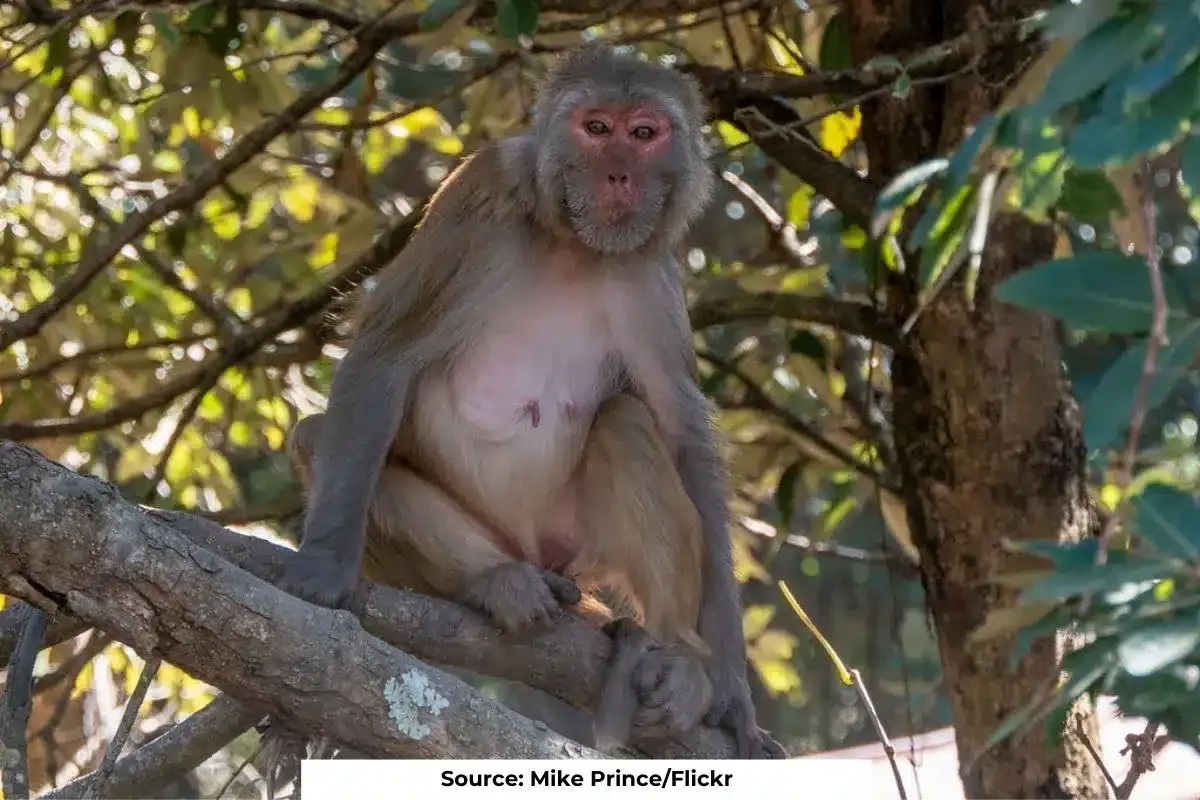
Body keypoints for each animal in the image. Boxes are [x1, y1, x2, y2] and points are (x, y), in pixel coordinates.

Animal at [274, 44, 785, 760]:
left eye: (644, 133)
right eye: (596, 128)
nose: (619, 174)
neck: (573, 243)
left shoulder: (650, 273)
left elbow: (682, 434)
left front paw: (731, 687)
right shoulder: (478, 197)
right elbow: (386, 354)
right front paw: (323, 564)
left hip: (578, 545)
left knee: (626, 421)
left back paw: (678, 655)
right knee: (320, 439)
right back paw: (498, 582)